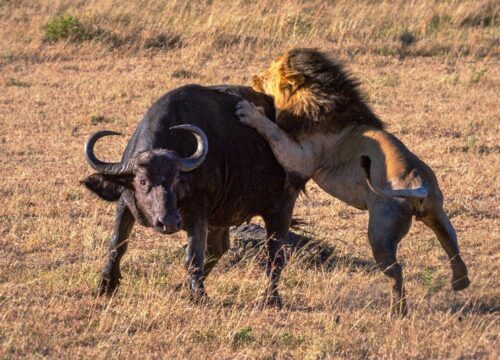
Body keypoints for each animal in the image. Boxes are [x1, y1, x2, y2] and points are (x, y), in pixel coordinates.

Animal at [82, 84, 302, 306]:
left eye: (177, 179)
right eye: (143, 181)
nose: (169, 222)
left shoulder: (198, 212)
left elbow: (193, 257)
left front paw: (199, 294)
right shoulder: (126, 202)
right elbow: (117, 245)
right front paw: (105, 285)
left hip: (281, 209)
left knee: (275, 255)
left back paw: (271, 298)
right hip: (222, 215)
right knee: (219, 247)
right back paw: (181, 287)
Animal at [234, 48, 468, 316]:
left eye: (266, 74)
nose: (253, 78)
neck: (320, 98)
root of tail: (416, 180)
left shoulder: (301, 158)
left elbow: (273, 131)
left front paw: (249, 111)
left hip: (381, 233)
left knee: (397, 271)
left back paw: (398, 309)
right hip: (437, 212)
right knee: (452, 246)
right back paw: (460, 281)